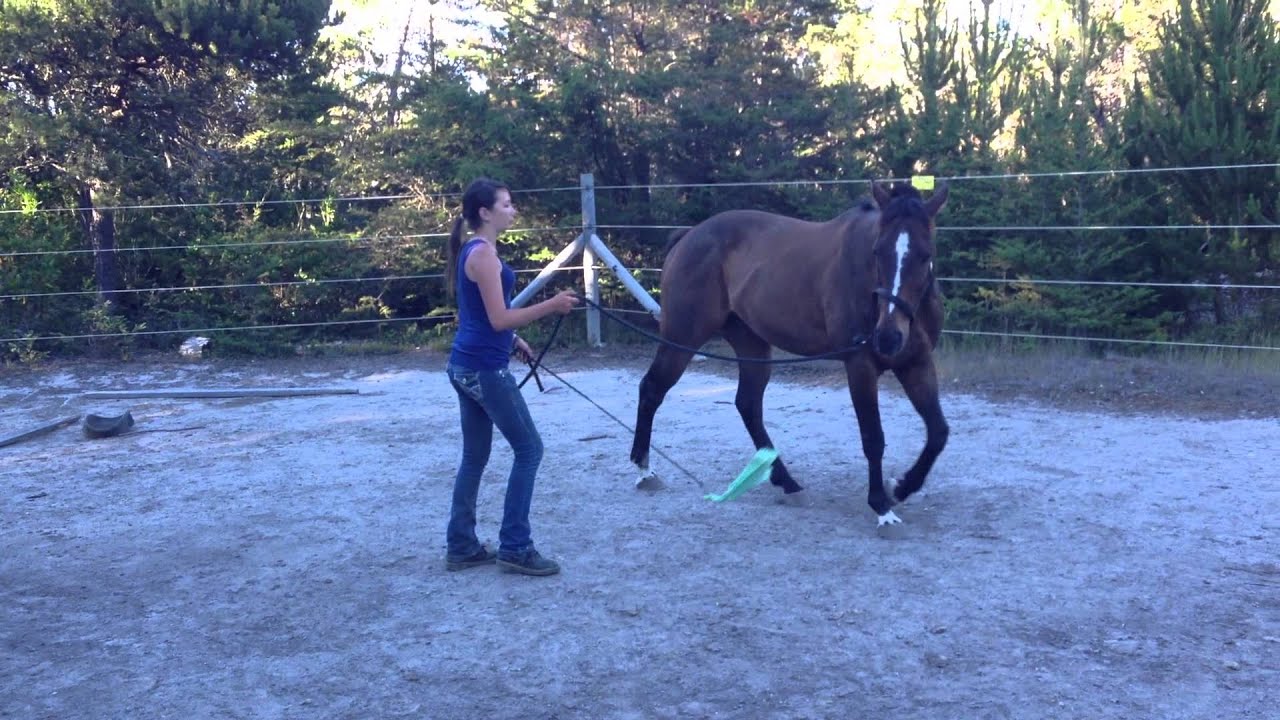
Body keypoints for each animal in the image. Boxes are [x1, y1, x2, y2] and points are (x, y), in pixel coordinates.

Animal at [630, 181, 950, 526]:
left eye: (925, 255)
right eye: (878, 252)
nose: (888, 338)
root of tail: (689, 236)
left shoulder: (916, 363)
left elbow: (938, 432)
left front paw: (901, 487)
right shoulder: (860, 365)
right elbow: (873, 438)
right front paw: (882, 506)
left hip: (752, 346)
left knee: (748, 405)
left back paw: (786, 481)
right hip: (683, 337)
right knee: (652, 388)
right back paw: (645, 471)